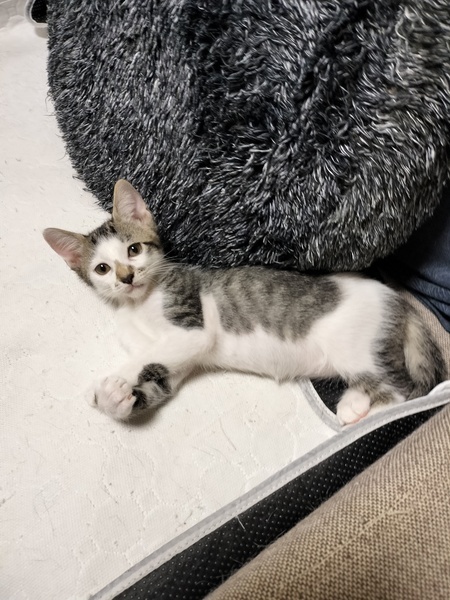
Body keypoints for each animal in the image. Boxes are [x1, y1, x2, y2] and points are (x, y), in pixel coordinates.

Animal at [43, 180, 445, 425]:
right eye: (102, 268)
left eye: (134, 249)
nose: (126, 277)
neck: (138, 304)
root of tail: (397, 299)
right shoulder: (176, 362)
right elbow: (155, 375)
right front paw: (115, 398)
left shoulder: (190, 329)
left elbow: (144, 356)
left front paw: (103, 384)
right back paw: (354, 404)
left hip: (357, 349)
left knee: (403, 391)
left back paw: (371, 413)